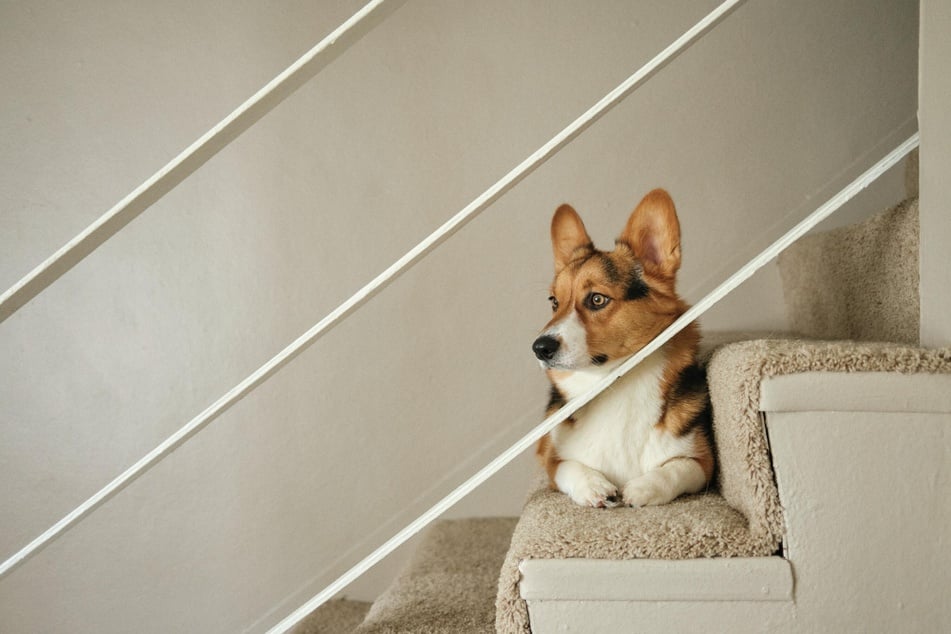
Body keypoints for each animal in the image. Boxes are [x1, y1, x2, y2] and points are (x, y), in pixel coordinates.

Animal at [532, 189, 712, 508]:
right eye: (554, 302)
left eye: (597, 299)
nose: (539, 348)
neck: (611, 384)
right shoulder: (550, 461)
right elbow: (568, 467)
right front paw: (593, 486)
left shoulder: (703, 463)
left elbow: (677, 468)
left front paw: (643, 488)